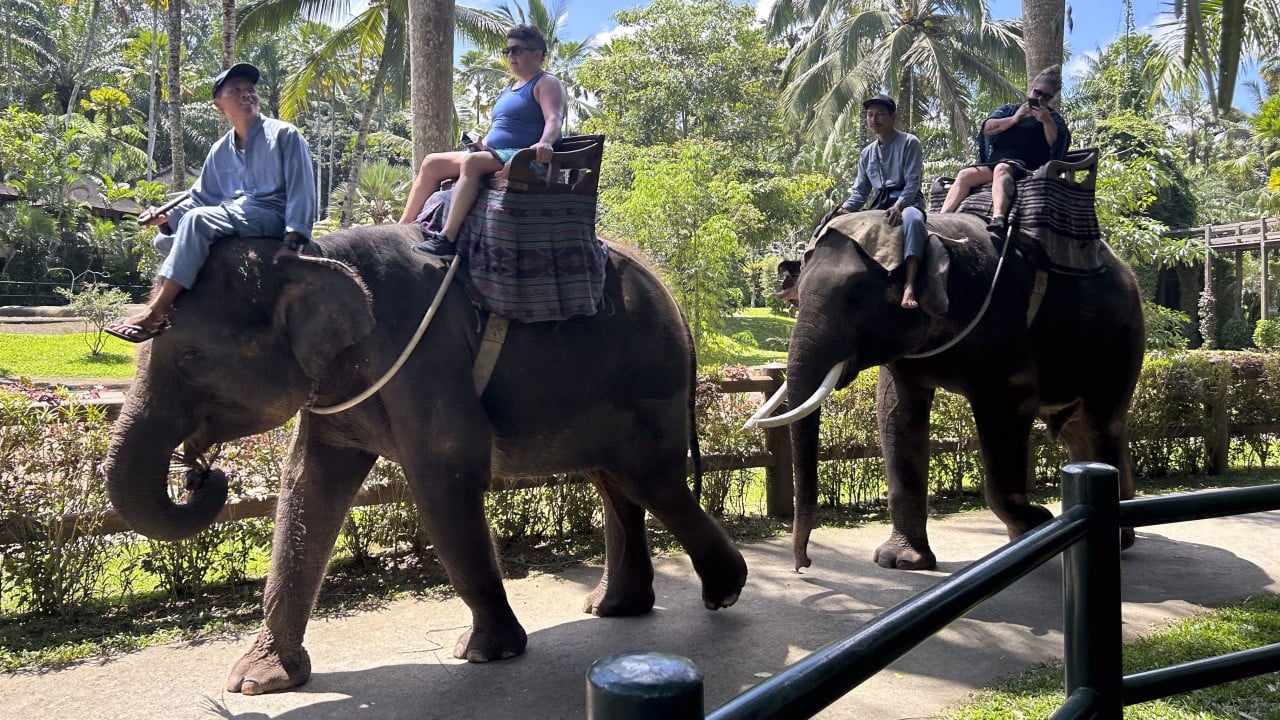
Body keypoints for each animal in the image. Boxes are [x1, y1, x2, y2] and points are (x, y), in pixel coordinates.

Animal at [102, 224, 747, 695]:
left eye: (192, 358)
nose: (204, 475)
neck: (314, 255)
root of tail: (674, 296)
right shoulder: (335, 389)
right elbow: (307, 486)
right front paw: (257, 682)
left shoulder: (425, 359)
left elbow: (443, 472)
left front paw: (485, 653)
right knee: (614, 480)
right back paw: (616, 609)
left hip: (649, 377)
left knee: (649, 478)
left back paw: (724, 592)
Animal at [753, 211, 1144, 571]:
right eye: (796, 298)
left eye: (858, 295)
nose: (803, 564)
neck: (935, 235)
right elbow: (895, 411)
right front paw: (901, 562)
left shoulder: (1002, 330)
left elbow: (1009, 407)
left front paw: (1038, 525)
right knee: (1082, 430)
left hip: (1122, 338)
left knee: (1100, 423)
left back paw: (1115, 535)